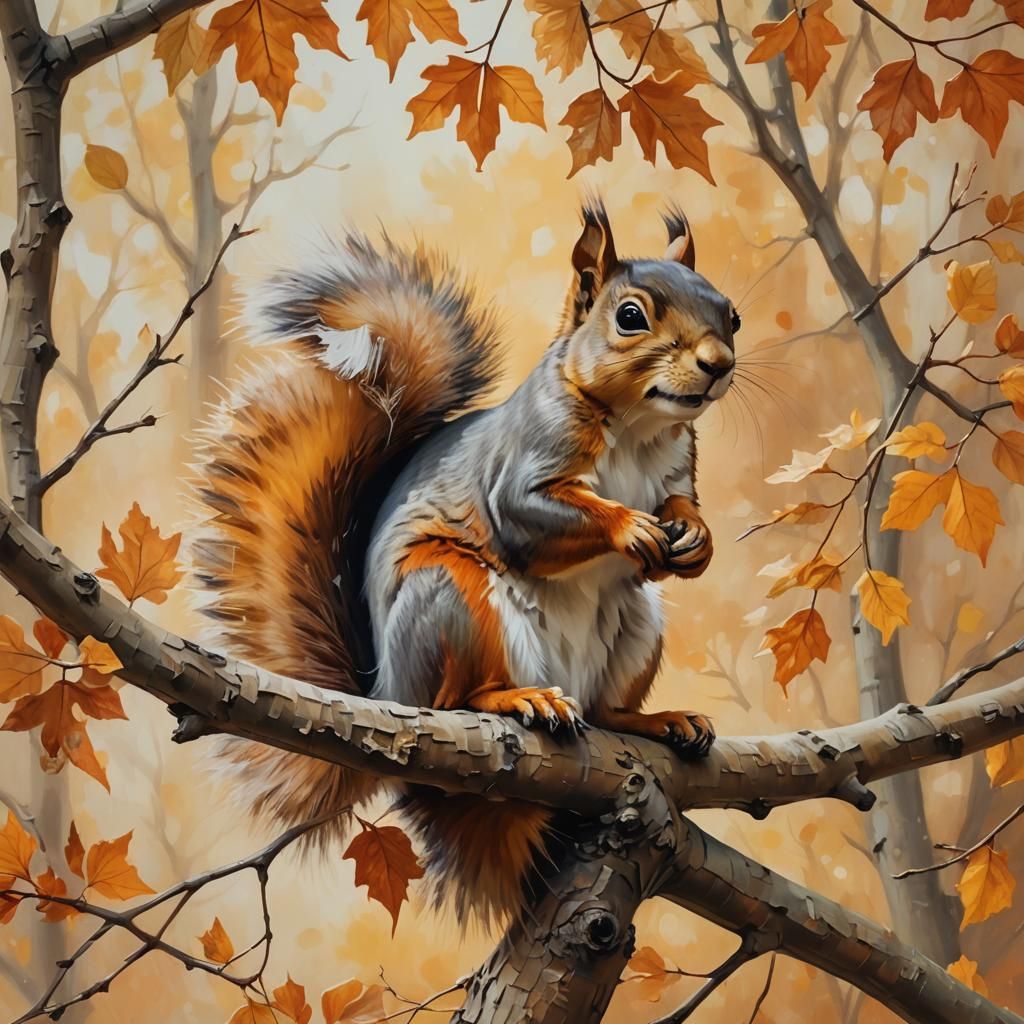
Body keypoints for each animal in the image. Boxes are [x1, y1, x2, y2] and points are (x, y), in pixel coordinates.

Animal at [193, 200, 737, 923]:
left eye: (731, 314)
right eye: (630, 316)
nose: (719, 363)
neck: (636, 427)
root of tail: (382, 691)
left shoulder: (678, 466)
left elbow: (684, 503)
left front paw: (695, 539)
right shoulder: (521, 474)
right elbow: (531, 517)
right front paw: (630, 529)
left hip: (635, 623)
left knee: (603, 710)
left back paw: (656, 720)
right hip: (450, 597)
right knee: (456, 700)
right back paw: (519, 698)